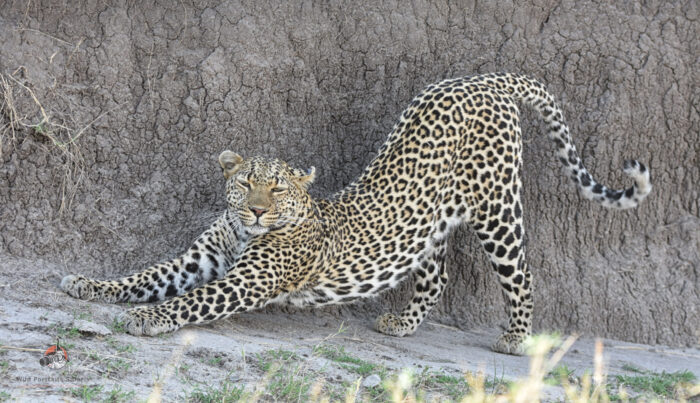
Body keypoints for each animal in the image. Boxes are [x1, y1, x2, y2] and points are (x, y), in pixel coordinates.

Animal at [61, 72, 652, 354]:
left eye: (277, 189)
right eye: (246, 183)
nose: (256, 212)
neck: (244, 232)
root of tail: (486, 79)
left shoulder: (248, 281)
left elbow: (191, 301)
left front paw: (147, 319)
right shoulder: (200, 259)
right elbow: (144, 276)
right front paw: (87, 284)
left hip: (497, 207)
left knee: (522, 272)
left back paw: (515, 339)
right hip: (429, 222)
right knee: (435, 276)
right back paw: (403, 325)